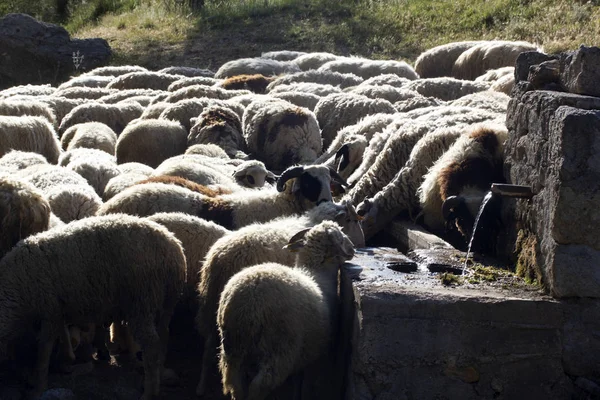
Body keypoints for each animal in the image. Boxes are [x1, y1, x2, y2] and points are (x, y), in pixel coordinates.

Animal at [0, 212, 185, 396]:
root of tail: (174, 249)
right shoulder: (58, 308)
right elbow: (63, 333)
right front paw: (67, 358)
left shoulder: (49, 310)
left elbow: (44, 350)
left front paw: (40, 385)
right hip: (165, 304)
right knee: (163, 337)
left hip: (142, 301)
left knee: (151, 345)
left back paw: (149, 392)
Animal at [196, 202, 360, 396]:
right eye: (348, 223)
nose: (354, 249)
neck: (315, 274)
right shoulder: (313, 353)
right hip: (280, 351)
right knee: (259, 385)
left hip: (228, 340)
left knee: (217, 359)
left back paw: (202, 388)